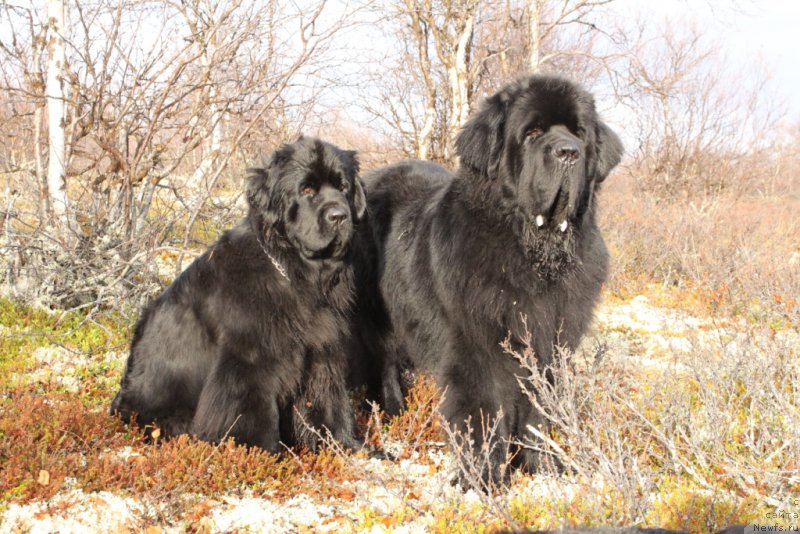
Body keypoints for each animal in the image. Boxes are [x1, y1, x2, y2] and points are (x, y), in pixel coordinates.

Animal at [110, 137, 366, 452]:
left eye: (343, 188)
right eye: (306, 189)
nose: (339, 215)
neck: (296, 274)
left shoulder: (322, 353)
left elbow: (330, 401)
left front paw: (347, 446)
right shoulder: (249, 361)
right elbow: (250, 412)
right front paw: (256, 452)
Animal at [364, 76, 624, 486]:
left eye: (580, 133)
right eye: (532, 133)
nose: (568, 152)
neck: (532, 254)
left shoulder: (549, 345)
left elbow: (539, 413)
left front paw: (544, 470)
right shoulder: (477, 347)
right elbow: (483, 415)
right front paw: (484, 480)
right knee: (385, 360)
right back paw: (393, 410)